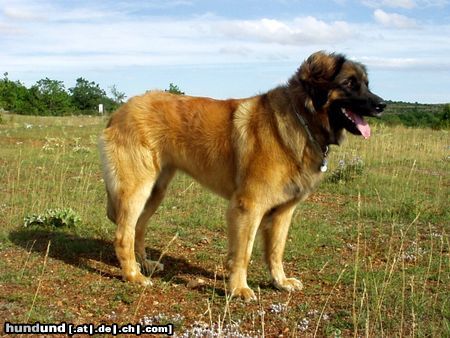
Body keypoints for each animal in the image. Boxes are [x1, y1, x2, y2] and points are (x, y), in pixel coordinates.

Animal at [99, 52, 386, 302]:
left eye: (367, 84)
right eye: (349, 83)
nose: (382, 105)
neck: (301, 120)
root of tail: (120, 110)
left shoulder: (283, 211)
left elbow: (276, 251)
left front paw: (280, 282)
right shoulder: (248, 207)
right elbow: (243, 254)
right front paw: (238, 289)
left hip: (156, 191)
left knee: (137, 227)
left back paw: (144, 264)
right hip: (138, 189)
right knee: (123, 234)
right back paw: (133, 275)